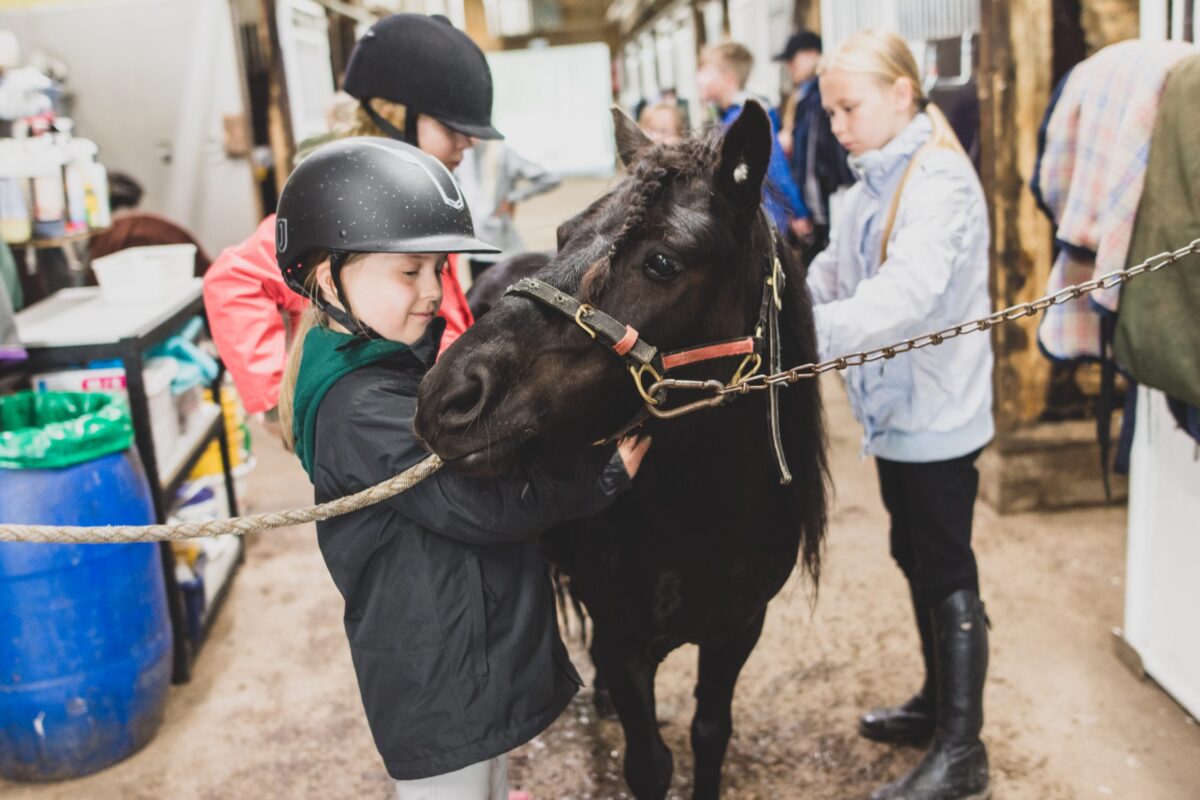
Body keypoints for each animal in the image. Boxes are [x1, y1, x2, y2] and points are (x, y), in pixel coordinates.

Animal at [417, 103, 830, 796]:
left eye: (662, 262)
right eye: (564, 233)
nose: (449, 396)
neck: (702, 520)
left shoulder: (738, 631)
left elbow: (710, 733)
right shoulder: (624, 643)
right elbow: (649, 763)